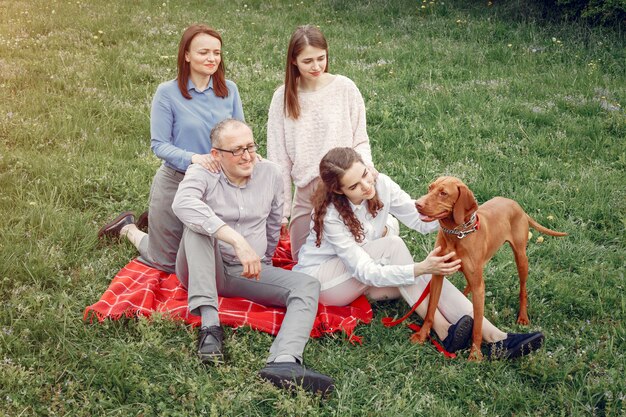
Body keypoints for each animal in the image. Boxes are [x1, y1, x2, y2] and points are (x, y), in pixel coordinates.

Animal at [412, 175, 564, 358]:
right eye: (430, 188)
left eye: (443, 193)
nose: (417, 204)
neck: (458, 234)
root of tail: (516, 205)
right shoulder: (438, 274)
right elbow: (430, 310)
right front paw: (422, 335)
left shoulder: (478, 287)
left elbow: (478, 324)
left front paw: (475, 355)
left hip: (521, 259)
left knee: (523, 289)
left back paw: (523, 317)